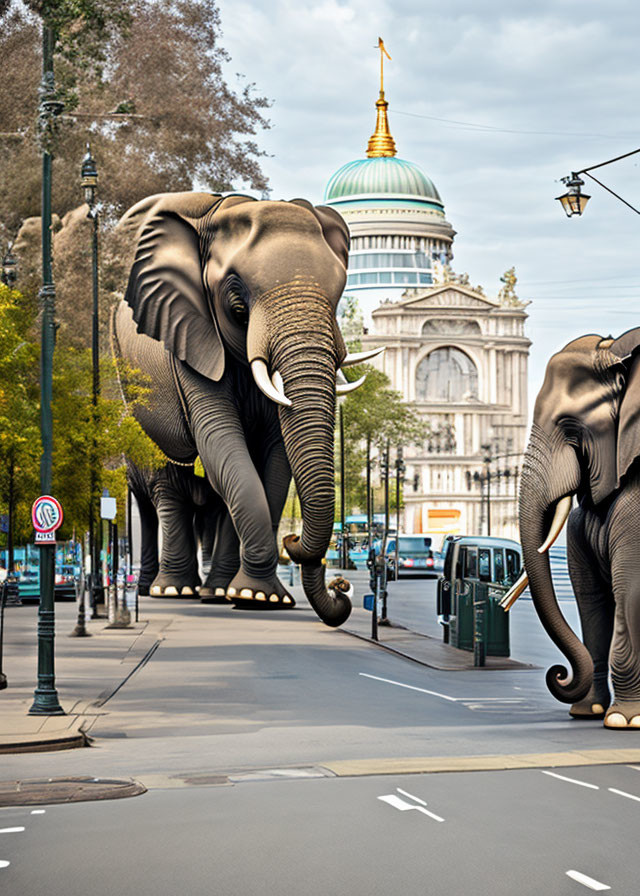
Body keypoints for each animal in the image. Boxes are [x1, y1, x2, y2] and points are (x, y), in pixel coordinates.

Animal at [113, 191, 380, 624]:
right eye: (238, 306)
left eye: (340, 293)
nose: (341, 587)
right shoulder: (188, 334)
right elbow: (222, 442)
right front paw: (259, 597)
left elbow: (274, 457)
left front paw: (258, 598)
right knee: (164, 497)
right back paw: (170, 590)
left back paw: (215, 591)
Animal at [502, 328, 640, 728]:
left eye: (570, 427)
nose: (558, 673)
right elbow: (589, 595)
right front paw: (587, 712)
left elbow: (629, 588)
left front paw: (623, 720)